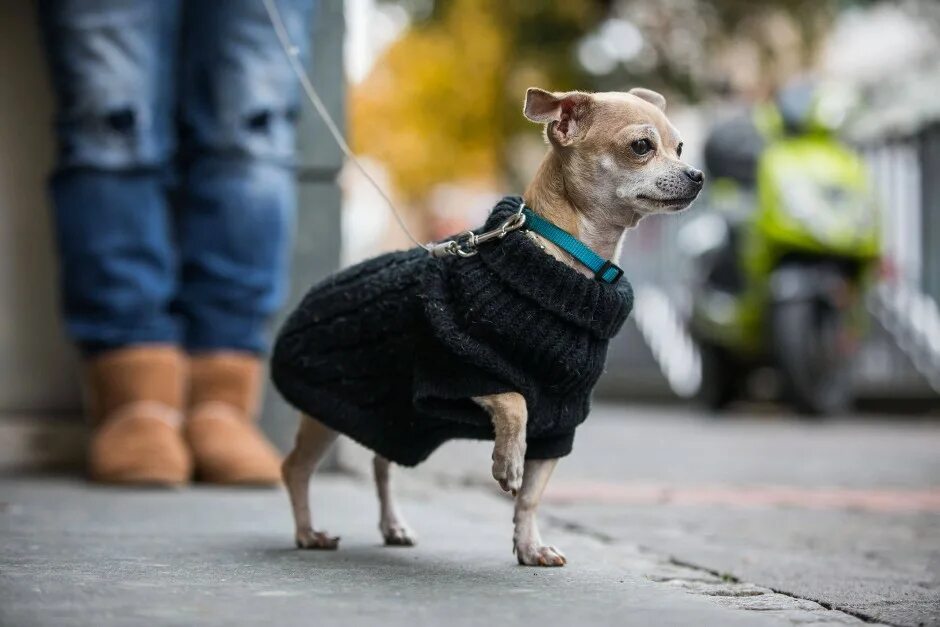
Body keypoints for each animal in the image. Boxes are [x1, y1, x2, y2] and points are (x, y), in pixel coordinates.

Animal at [276, 86, 700, 568]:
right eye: (641, 147)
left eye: (680, 147)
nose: (697, 175)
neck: (567, 260)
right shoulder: (457, 373)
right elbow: (516, 399)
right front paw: (507, 462)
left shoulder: (560, 422)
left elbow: (532, 496)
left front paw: (530, 547)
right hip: (326, 412)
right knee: (296, 467)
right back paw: (307, 532)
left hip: (392, 416)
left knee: (380, 465)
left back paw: (392, 525)